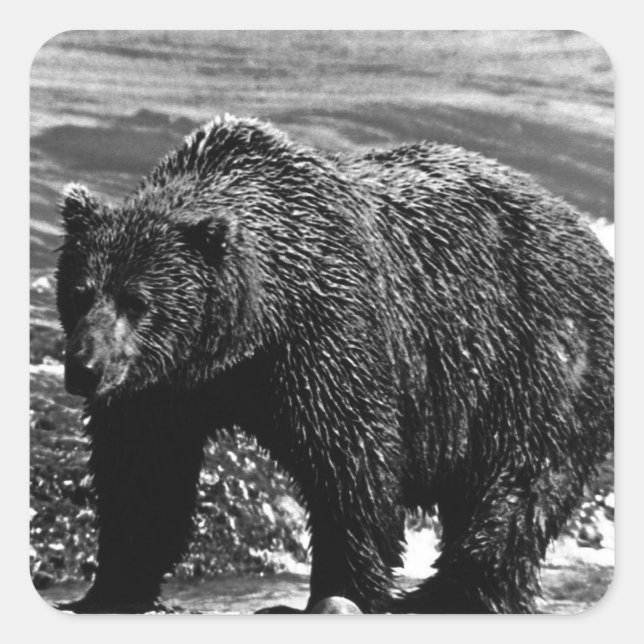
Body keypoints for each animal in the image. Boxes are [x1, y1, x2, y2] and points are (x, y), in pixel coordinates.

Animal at [54, 115, 613, 614]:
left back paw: (449, 594)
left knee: (520, 482)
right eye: (80, 292)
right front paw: (113, 587)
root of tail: (587, 232)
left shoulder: (324, 332)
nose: (85, 368)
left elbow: (352, 463)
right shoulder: (165, 387)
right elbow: (142, 475)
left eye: (137, 301)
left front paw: (347, 589)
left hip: (535, 355)